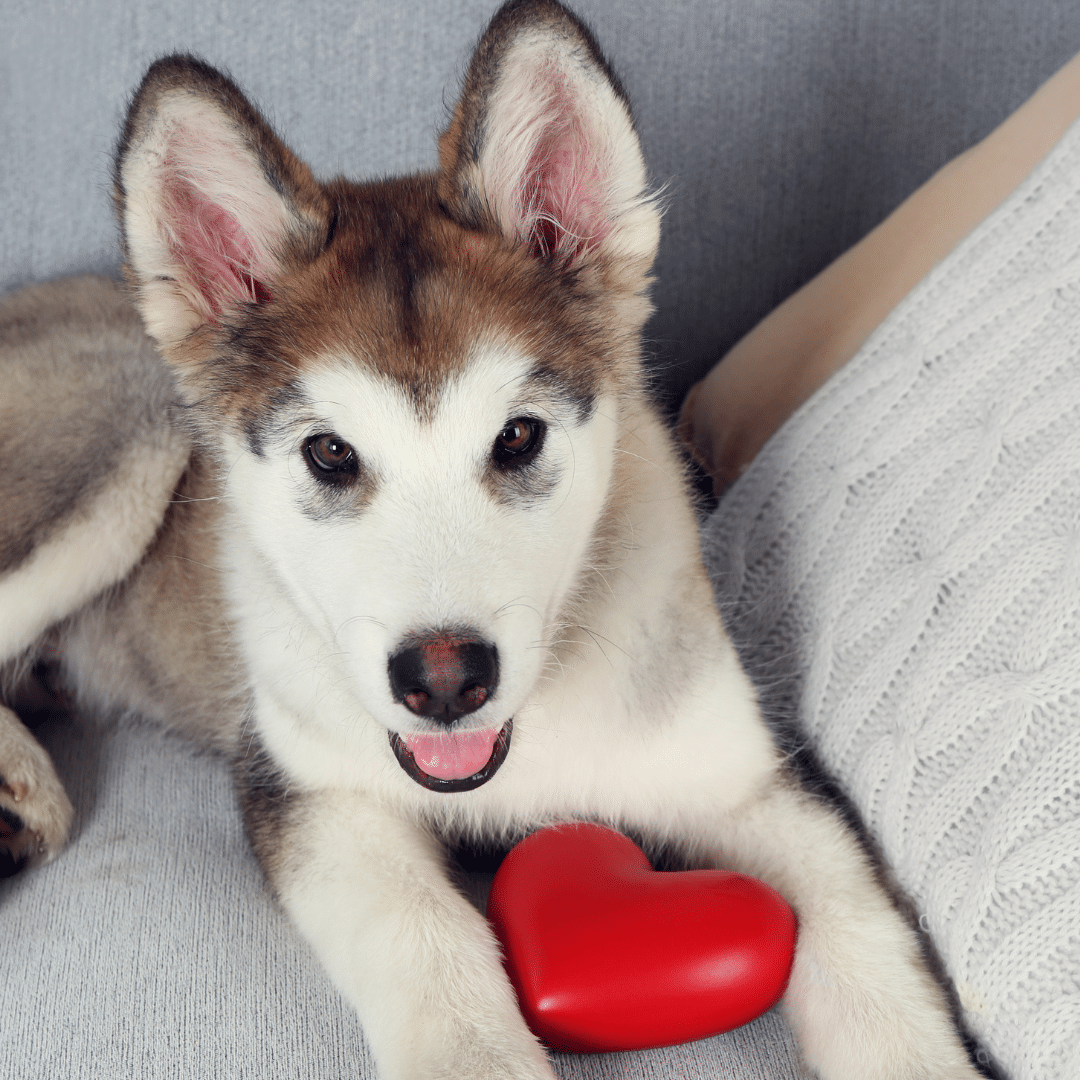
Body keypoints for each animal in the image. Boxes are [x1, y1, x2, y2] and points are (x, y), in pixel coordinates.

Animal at [0, 2, 980, 1080]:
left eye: (518, 437)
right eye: (330, 453)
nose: (443, 682)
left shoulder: (750, 781)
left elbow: (868, 948)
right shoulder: (314, 788)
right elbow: (426, 939)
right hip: (128, 426)